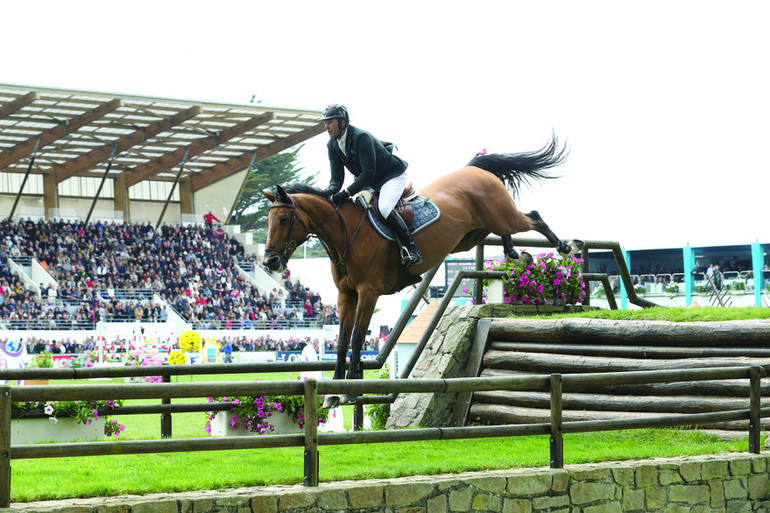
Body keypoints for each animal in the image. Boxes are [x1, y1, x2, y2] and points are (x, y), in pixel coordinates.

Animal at [260, 135, 580, 408]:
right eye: (267, 220)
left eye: (285, 218)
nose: (270, 262)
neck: (346, 234)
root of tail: (475, 170)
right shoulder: (346, 294)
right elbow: (341, 341)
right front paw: (334, 393)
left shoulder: (369, 292)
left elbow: (357, 337)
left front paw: (350, 390)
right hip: (472, 233)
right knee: (506, 231)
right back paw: (516, 255)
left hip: (500, 216)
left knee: (532, 218)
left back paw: (566, 247)